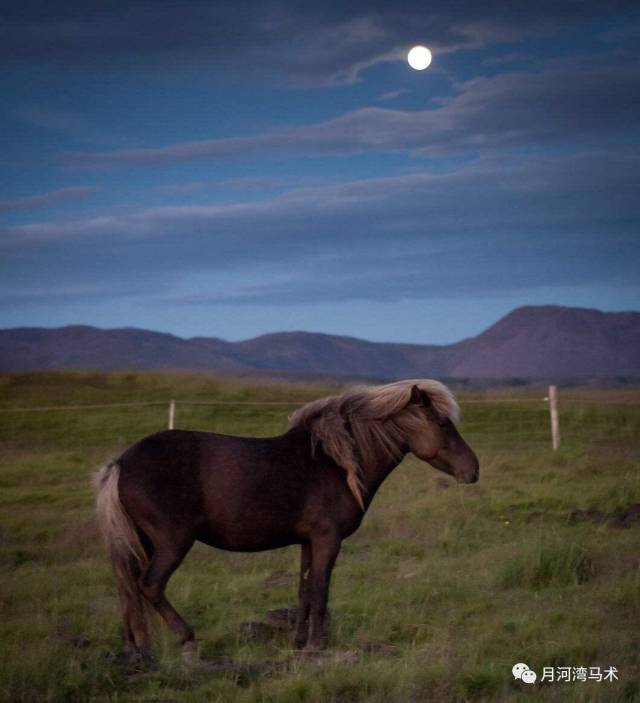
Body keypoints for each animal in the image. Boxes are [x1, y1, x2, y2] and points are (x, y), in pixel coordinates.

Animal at [92, 380, 478, 664]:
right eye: (443, 424)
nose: (473, 471)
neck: (335, 463)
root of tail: (121, 464)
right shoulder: (327, 540)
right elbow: (320, 591)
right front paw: (316, 647)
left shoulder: (308, 542)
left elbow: (304, 591)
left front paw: (298, 642)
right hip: (172, 543)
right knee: (149, 586)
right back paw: (186, 642)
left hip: (140, 542)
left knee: (127, 589)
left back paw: (137, 652)